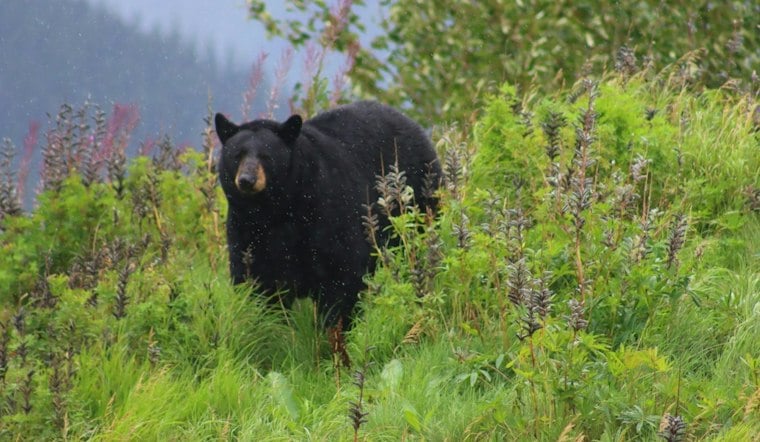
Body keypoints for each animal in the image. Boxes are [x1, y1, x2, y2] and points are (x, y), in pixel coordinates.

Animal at [214, 101, 441, 331]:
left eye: (266, 156)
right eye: (237, 155)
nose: (246, 179)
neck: (276, 211)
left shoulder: (328, 214)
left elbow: (342, 278)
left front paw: (333, 331)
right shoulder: (245, 230)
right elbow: (255, 282)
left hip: (417, 201)